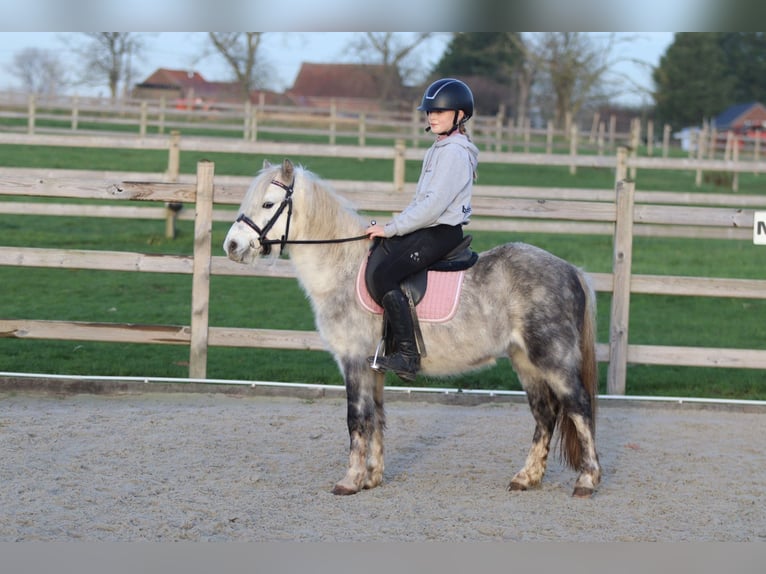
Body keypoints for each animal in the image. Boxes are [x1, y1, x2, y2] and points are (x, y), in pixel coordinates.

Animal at [223, 158, 601, 498]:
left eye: (268, 203)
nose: (231, 246)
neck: (343, 270)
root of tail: (572, 270)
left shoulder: (354, 360)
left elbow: (356, 419)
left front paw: (349, 481)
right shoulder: (373, 366)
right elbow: (376, 418)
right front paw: (371, 478)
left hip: (553, 359)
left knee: (579, 407)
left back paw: (586, 481)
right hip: (526, 362)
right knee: (545, 414)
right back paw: (526, 477)